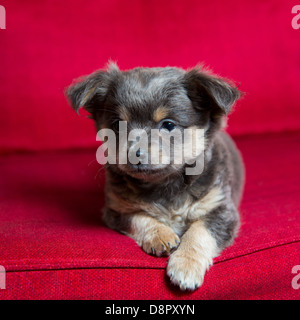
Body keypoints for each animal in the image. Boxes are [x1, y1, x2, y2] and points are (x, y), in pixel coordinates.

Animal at [65, 62, 244, 290]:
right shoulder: (117, 210)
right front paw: (162, 235)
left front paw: (186, 265)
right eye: (117, 126)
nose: (134, 153)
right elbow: (141, 218)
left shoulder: (221, 210)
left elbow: (199, 233)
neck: (162, 185)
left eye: (168, 125)